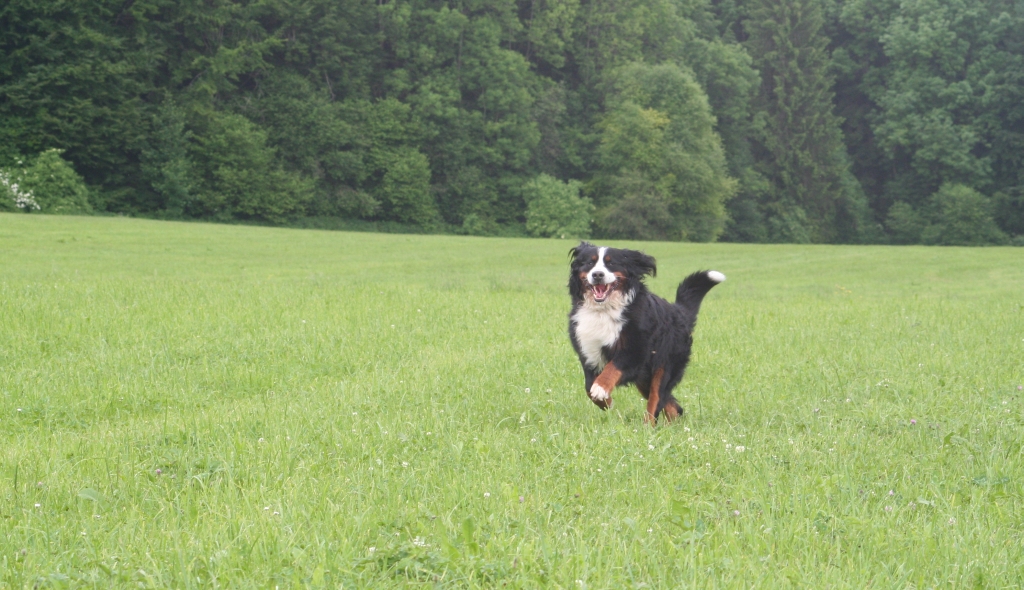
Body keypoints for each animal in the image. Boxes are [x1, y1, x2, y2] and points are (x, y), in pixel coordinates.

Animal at [569, 241, 729, 426]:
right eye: (590, 263)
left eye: (611, 263)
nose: (597, 274)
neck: (603, 311)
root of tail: (679, 311)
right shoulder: (589, 351)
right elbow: (589, 387)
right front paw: (605, 401)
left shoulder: (635, 349)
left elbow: (611, 369)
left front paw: (601, 389)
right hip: (645, 378)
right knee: (673, 406)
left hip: (664, 367)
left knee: (656, 399)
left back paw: (647, 427)